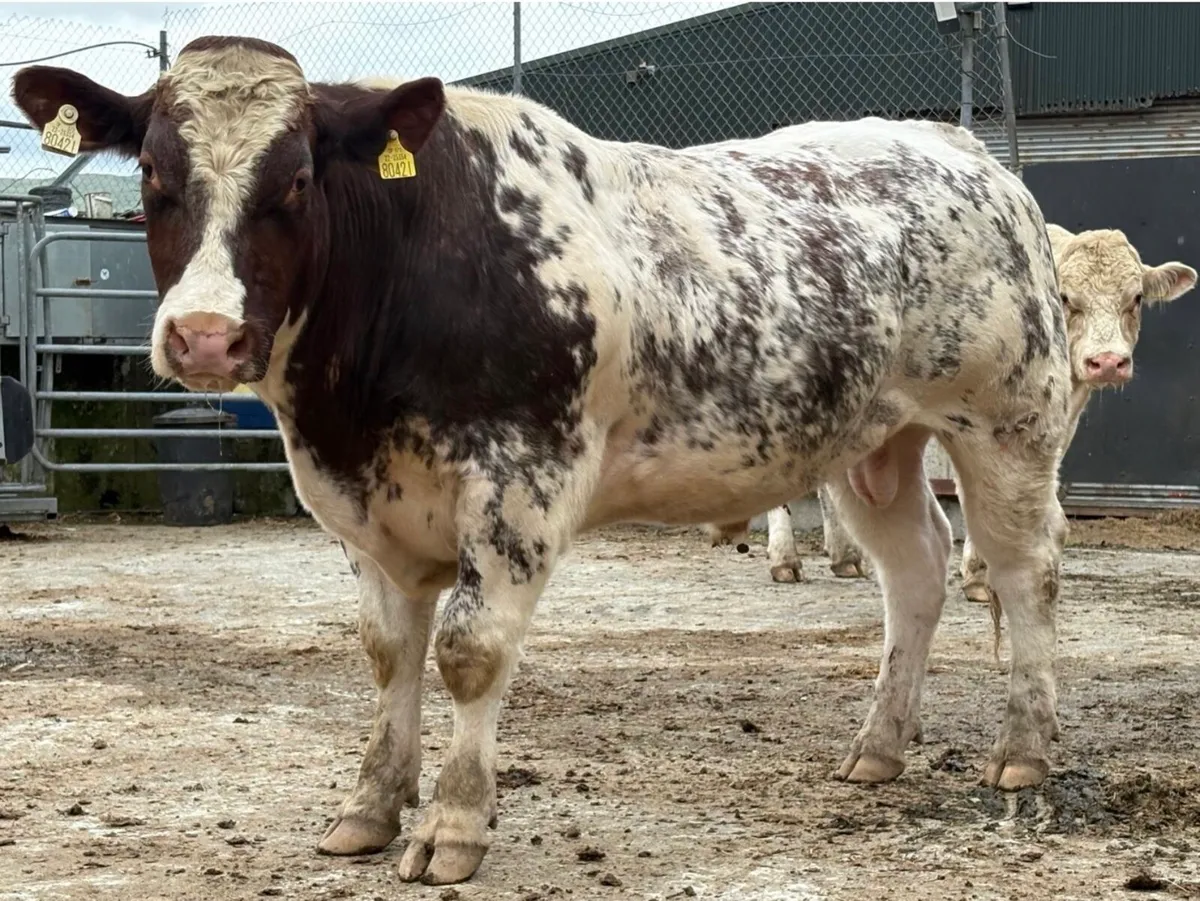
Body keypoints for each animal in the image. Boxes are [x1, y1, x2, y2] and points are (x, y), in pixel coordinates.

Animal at [14, 37, 1073, 886]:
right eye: (154, 176)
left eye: (298, 181)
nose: (203, 336)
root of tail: (955, 149)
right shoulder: (356, 501)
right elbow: (388, 650)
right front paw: (369, 805)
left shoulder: (521, 480)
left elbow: (468, 650)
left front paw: (451, 824)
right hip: (871, 442)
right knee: (916, 574)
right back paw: (878, 745)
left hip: (1008, 424)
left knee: (1023, 573)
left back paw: (1024, 747)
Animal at [735, 226, 1196, 600]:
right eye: (1067, 298)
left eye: (1135, 298)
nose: (1108, 362)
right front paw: (978, 575)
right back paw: (785, 559)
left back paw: (844, 556)